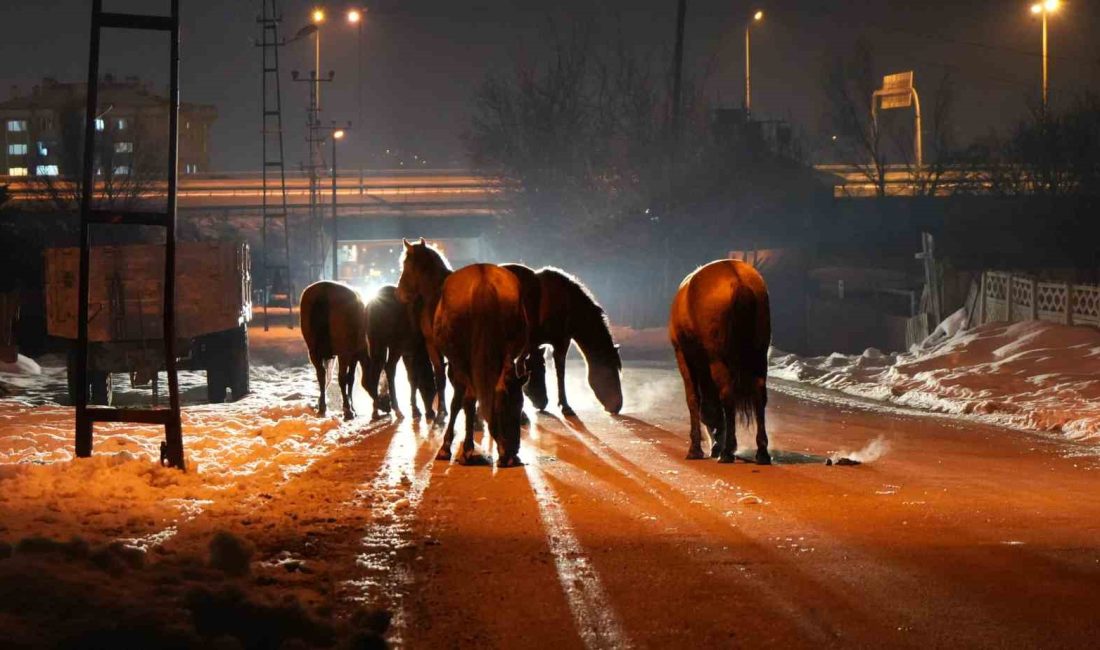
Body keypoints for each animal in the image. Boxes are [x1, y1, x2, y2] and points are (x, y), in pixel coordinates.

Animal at [299, 281, 371, 420]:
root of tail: (324, 290)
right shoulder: (353, 355)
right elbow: (350, 379)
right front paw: (351, 407)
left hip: (313, 352)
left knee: (321, 376)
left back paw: (322, 407)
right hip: (343, 353)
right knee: (341, 378)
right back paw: (347, 410)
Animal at [367, 285, 440, 422]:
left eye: (434, 391)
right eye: (426, 389)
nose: (430, 414)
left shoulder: (408, 354)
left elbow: (411, 378)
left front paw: (415, 409)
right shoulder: (413, 352)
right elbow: (415, 379)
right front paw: (416, 410)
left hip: (377, 344)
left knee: (373, 373)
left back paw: (377, 409)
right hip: (393, 346)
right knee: (388, 368)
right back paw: (395, 409)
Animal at [431, 263, 530, 468]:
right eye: (517, 404)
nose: (515, 448)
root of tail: (483, 281)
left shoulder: (456, 367)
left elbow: (457, 402)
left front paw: (446, 447)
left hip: (459, 357)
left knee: (469, 396)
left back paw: (468, 450)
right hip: (508, 347)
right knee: (499, 388)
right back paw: (503, 451)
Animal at [503, 267, 624, 420]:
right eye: (611, 372)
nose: (617, 406)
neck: (567, 303)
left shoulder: (536, 344)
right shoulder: (558, 343)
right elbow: (559, 373)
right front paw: (565, 406)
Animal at [664, 257, 770, 466]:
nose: (715, 445)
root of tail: (738, 279)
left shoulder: (682, 355)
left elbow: (693, 399)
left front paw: (695, 449)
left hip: (718, 359)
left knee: (727, 395)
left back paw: (727, 451)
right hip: (759, 357)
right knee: (759, 395)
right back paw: (761, 452)